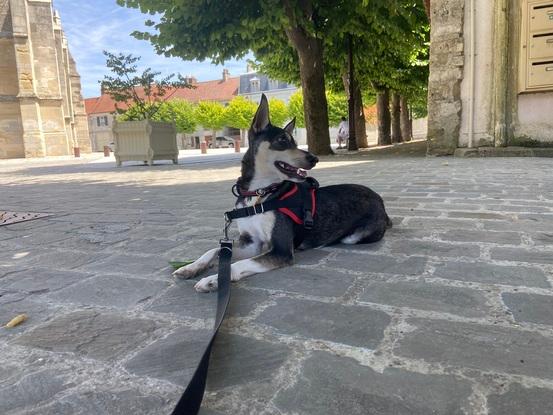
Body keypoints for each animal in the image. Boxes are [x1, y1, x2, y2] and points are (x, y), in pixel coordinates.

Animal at [175, 94, 390, 292]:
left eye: (294, 142)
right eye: (282, 140)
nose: (315, 158)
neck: (259, 194)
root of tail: (379, 200)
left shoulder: (280, 250)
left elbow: (238, 264)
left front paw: (213, 279)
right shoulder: (251, 243)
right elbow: (215, 250)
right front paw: (190, 267)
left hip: (355, 236)